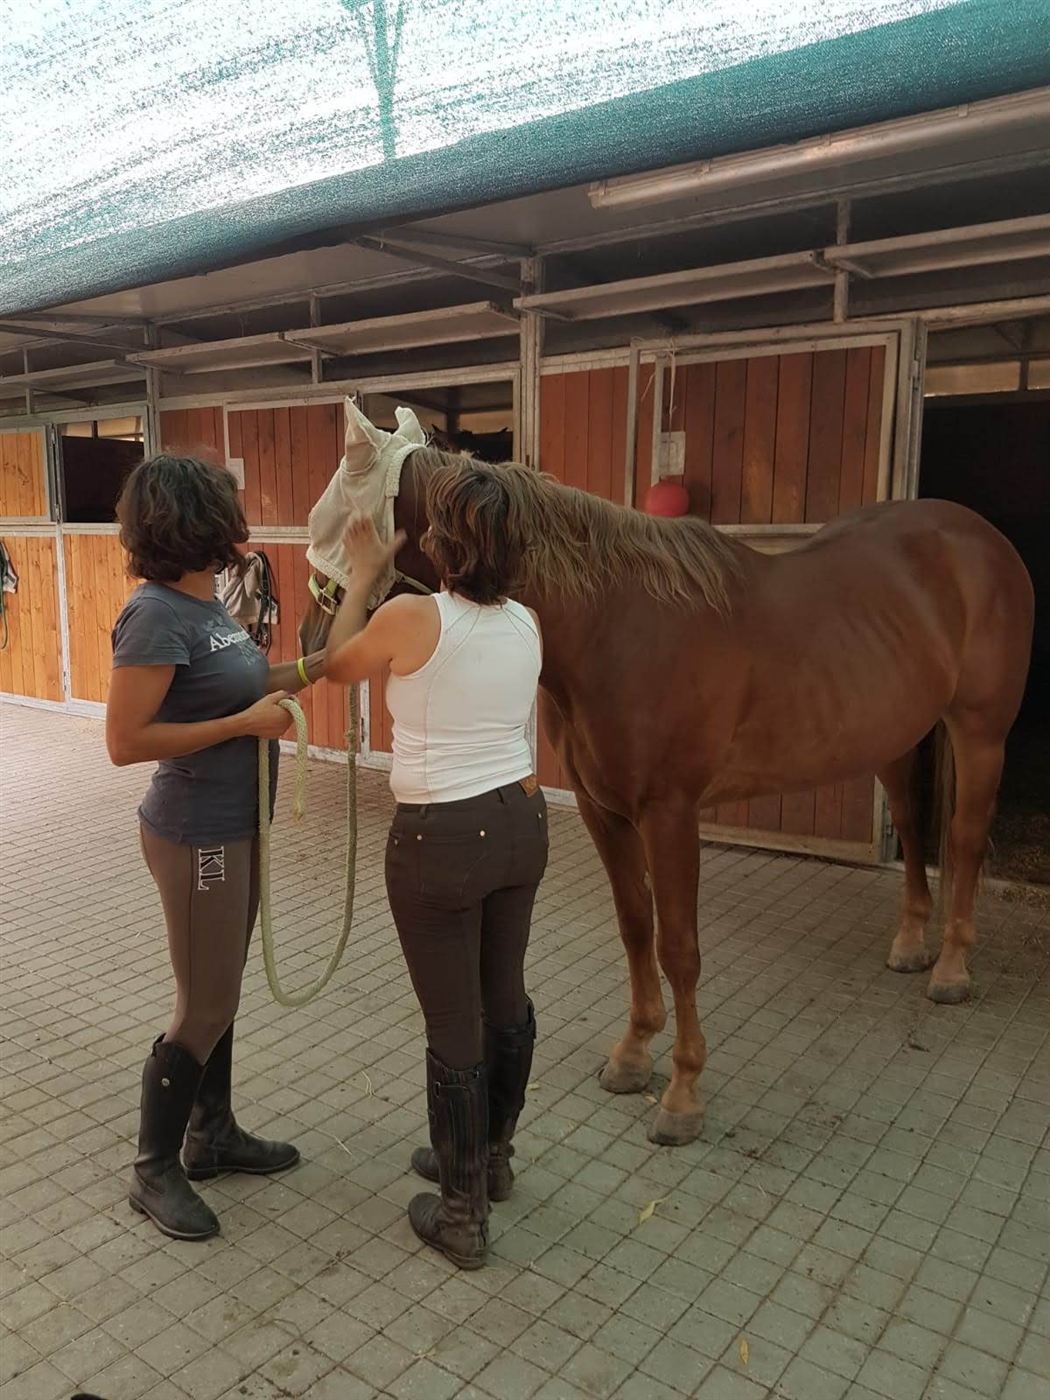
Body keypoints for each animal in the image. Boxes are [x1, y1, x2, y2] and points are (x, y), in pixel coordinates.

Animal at [300, 400, 1033, 1145]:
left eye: (343, 525)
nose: (311, 644)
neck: (615, 625)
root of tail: (979, 540)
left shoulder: (670, 813)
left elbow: (679, 946)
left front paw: (682, 1093)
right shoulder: (604, 810)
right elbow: (636, 928)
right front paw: (632, 1056)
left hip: (979, 731)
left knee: (965, 839)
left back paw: (951, 967)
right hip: (894, 733)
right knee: (913, 825)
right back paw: (911, 942)